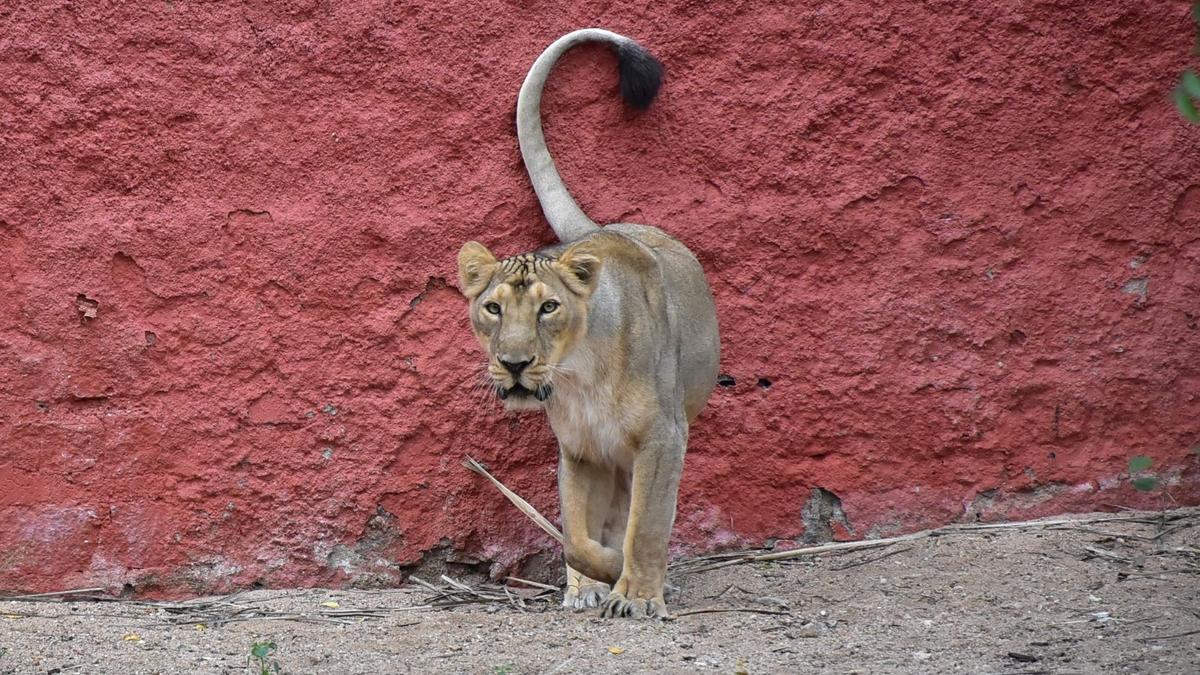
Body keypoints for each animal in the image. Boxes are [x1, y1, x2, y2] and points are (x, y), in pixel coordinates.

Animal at [456, 27, 720, 614]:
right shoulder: (579, 450)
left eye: (548, 308)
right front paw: (599, 575)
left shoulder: (664, 438)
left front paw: (638, 596)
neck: (580, 374)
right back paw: (585, 590)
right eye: (493, 308)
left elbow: (646, 526)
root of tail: (605, 229)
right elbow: (575, 534)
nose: (514, 364)